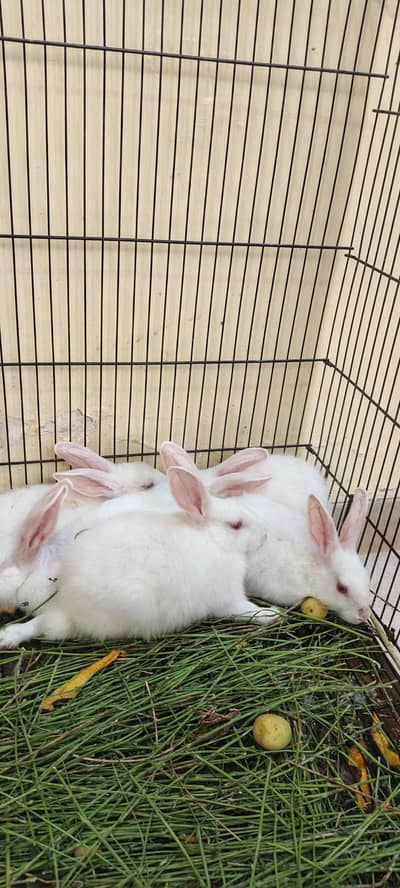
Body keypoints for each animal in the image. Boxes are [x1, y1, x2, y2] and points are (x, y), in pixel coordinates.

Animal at [0, 468, 279, 648]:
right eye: (236, 525)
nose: (265, 534)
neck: (213, 540)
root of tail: (66, 601)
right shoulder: (228, 598)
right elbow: (245, 610)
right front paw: (270, 614)